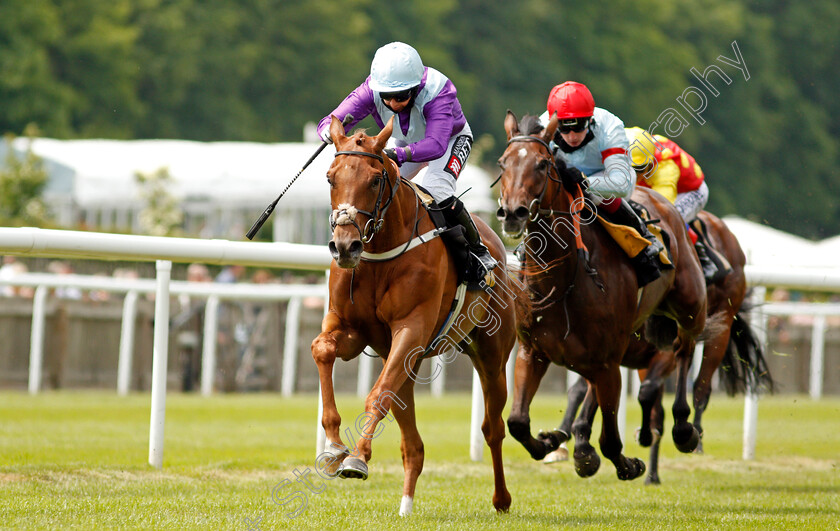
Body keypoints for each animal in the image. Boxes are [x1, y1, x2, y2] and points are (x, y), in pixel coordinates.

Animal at [310, 115, 516, 516]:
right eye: (330, 178)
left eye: (375, 180)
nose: (345, 246)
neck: (380, 251)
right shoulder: (353, 330)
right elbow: (322, 349)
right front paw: (333, 447)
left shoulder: (411, 330)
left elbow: (377, 395)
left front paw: (357, 458)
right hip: (409, 363)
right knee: (413, 445)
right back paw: (405, 505)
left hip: (492, 356)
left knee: (493, 428)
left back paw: (501, 499)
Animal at [498, 112, 708, 482]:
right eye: (503, 163)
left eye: (542, 164)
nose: (513, 213)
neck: (563, 279)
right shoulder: (532, 351)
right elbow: (518, 422)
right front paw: (551, 442)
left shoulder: (608, 360)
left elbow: (611, 439)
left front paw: (627, 464)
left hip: (690, 306)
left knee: (684, 349)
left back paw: (684, 428)